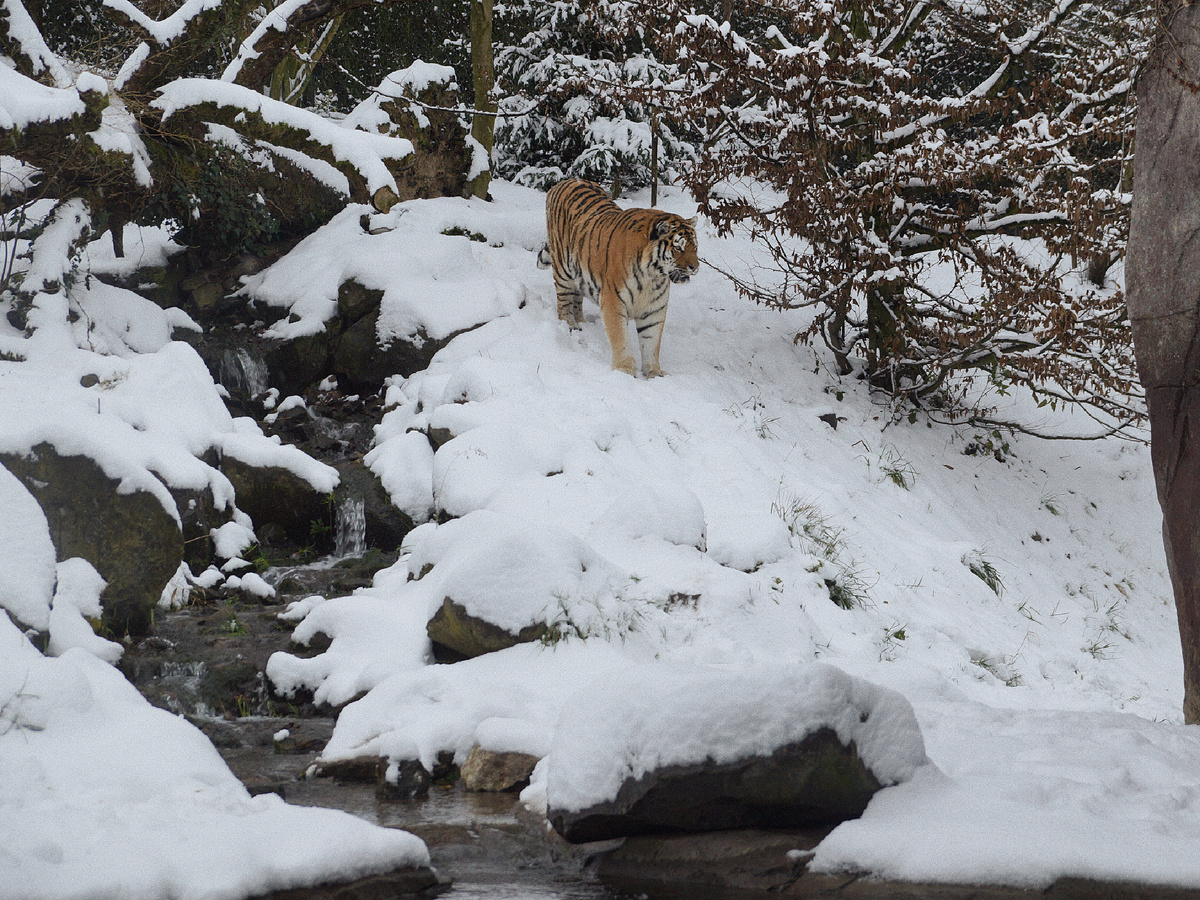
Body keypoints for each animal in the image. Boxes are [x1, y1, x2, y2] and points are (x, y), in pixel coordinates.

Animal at [536, 178, 699, 378]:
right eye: (678, 248)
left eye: (695, 247)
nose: (695, 267)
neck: (652, 276)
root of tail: (564, 181)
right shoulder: (613, 301)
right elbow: (620, 337)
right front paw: (625, 369)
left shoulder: (654, 309)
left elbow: (651, 342)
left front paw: (654, 372)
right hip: (563, 271)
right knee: (564, 303)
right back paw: (571, 326)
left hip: (579, 274)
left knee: (577, 298)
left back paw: (582, 322)